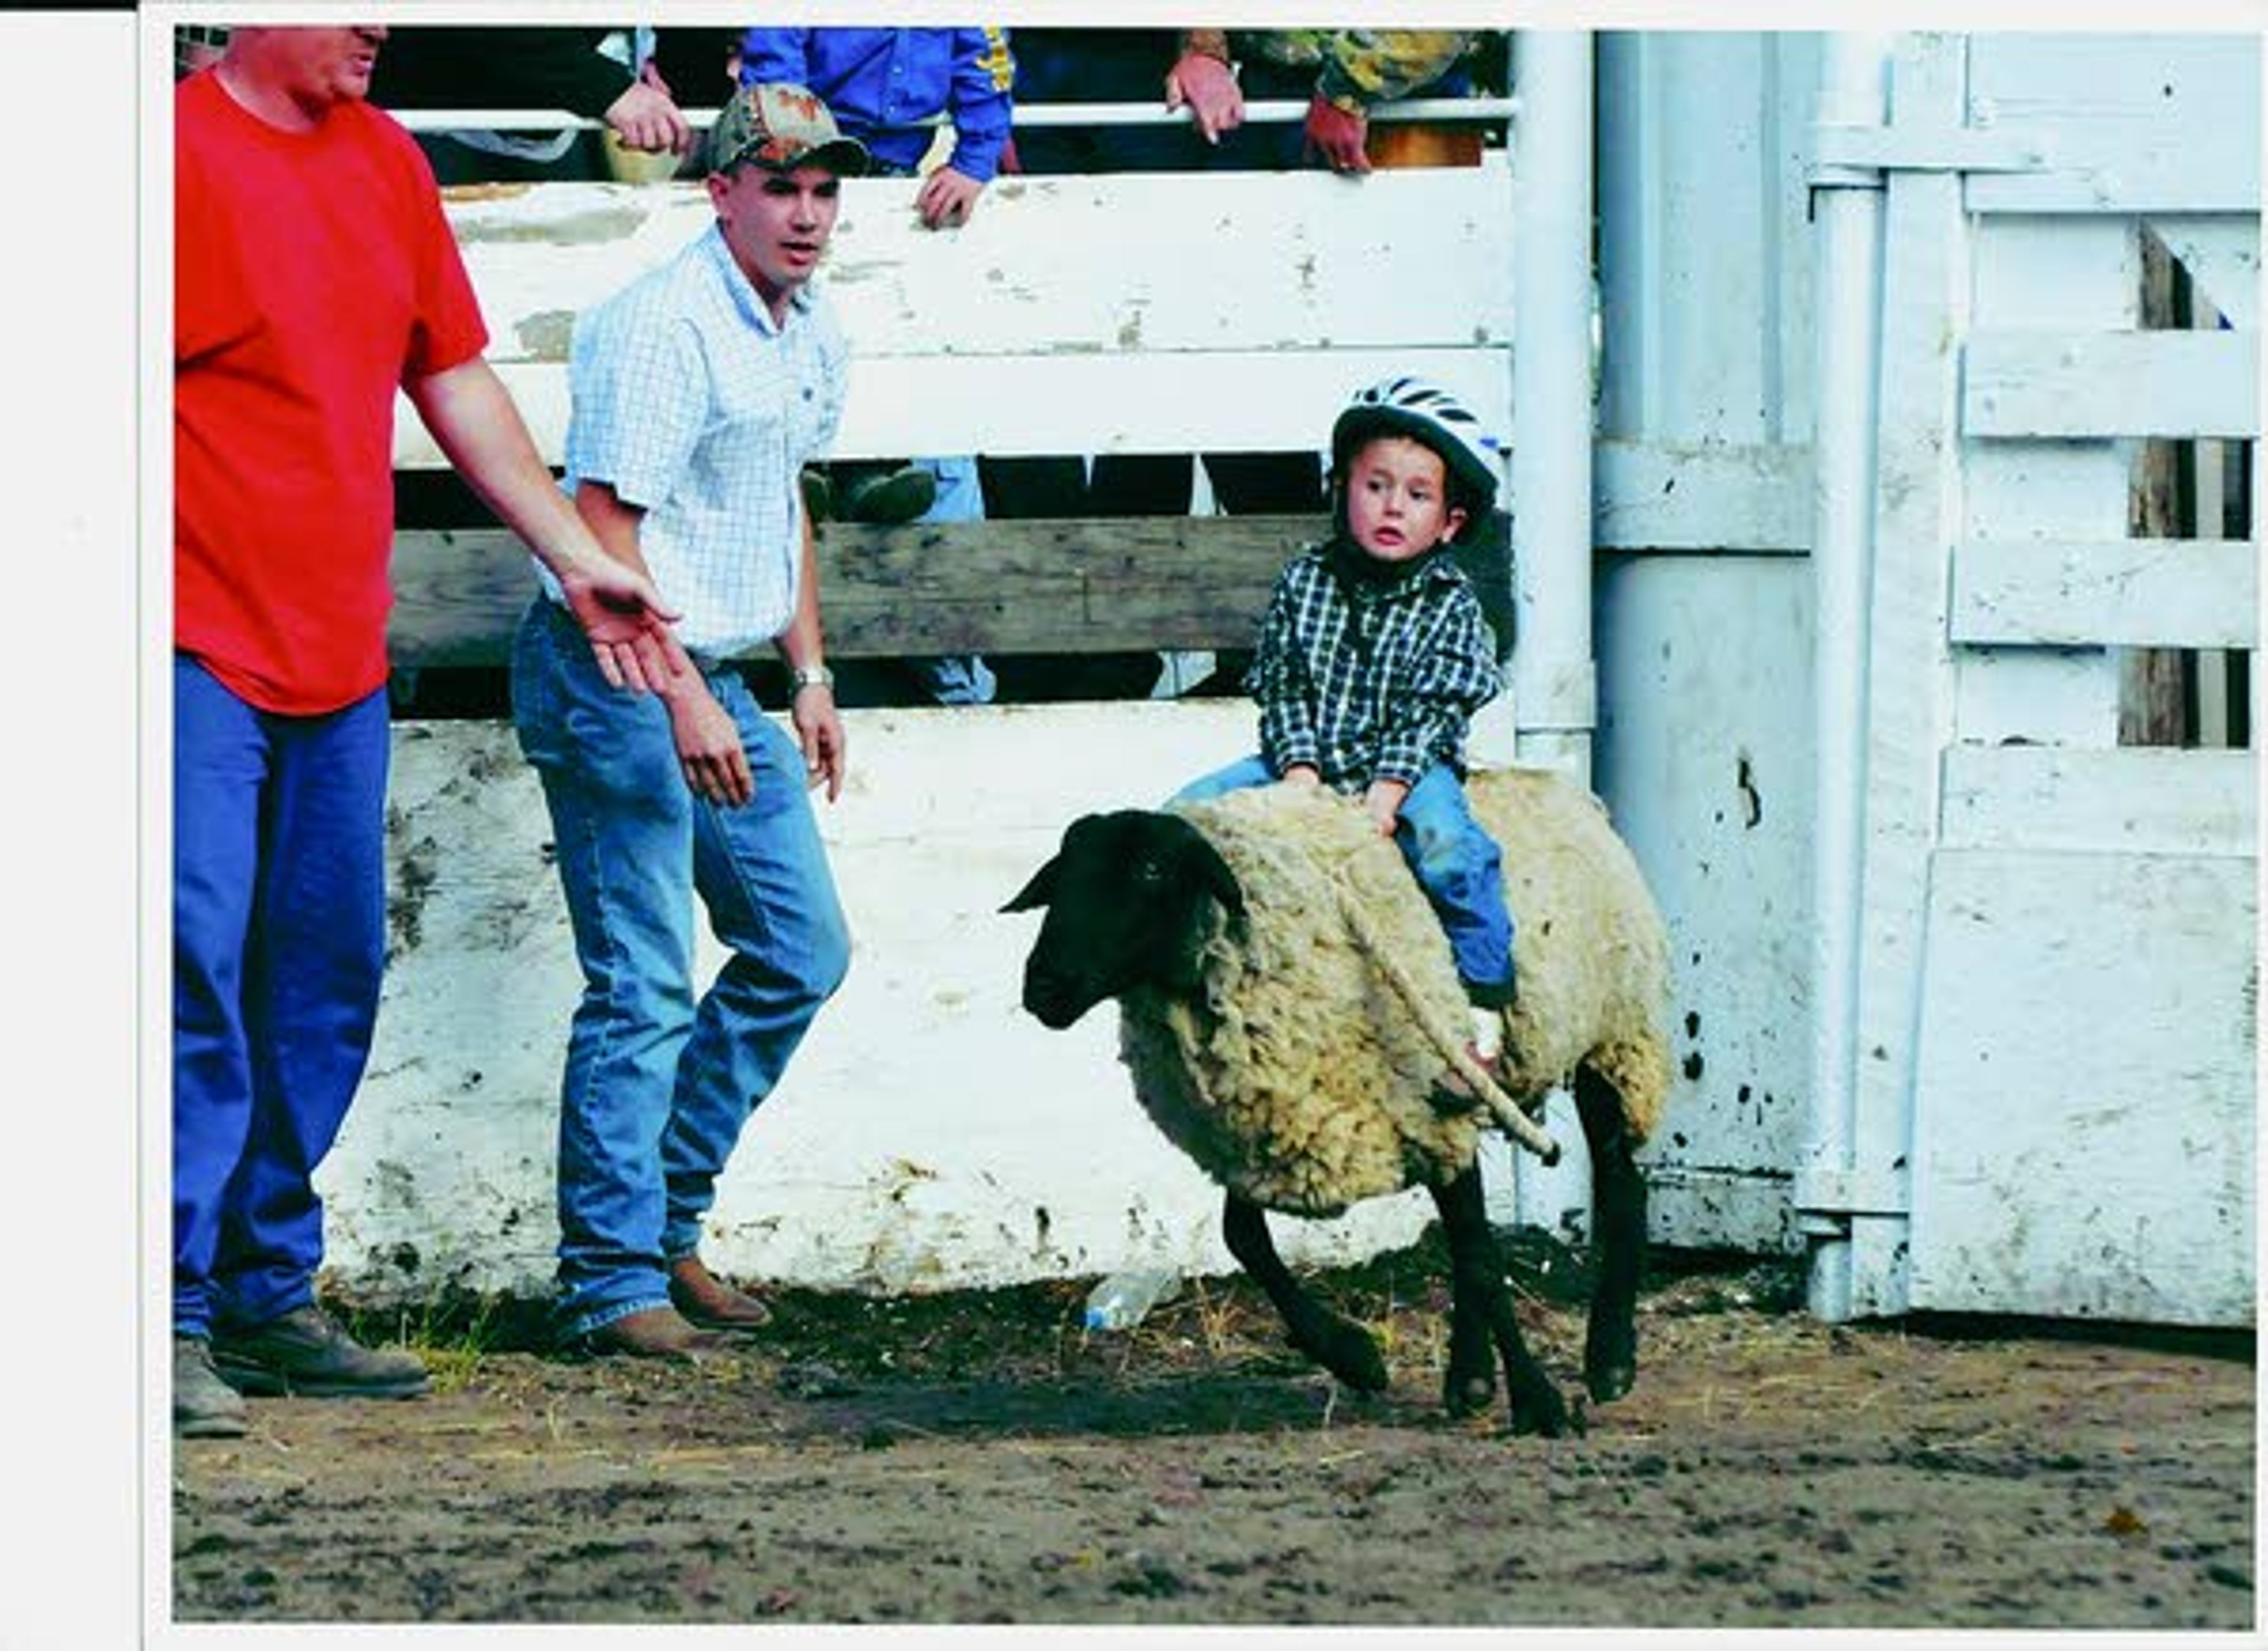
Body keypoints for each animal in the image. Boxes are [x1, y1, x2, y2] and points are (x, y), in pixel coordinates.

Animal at [1002, 771, 1678, 1433]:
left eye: (1150, 870)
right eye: (1061, 874)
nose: (1044, 987)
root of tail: (1576, 793)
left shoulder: (1432, 1118)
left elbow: (1484, 1260)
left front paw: (1540, 1401)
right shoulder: (1268, 1124)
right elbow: (1244, 1237)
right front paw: (1354, 1355)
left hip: (1611, 1039)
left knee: (1623, 1187)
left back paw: (1610, 1358)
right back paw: (1473, 1377)